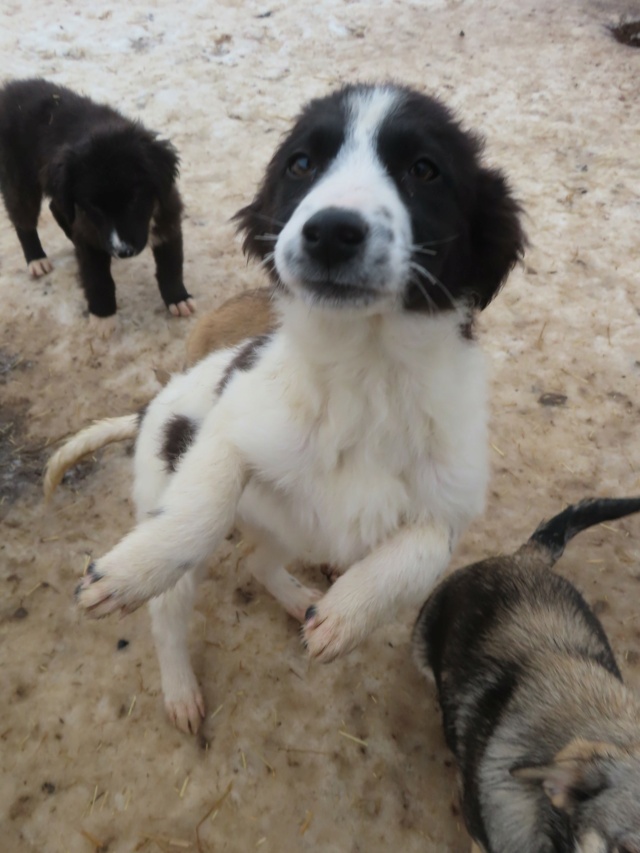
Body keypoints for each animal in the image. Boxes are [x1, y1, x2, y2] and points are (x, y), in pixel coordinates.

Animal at [0, 78, 195, 330]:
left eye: (134, 198)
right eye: (94, 207)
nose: (123, 251)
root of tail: (9, 89)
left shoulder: (167, 213)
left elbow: (171, 266)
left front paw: (178, 298)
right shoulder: (88, 229)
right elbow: (98, 279)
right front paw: (103, 317)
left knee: (56, 208)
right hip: (19, 179)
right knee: (23, 219)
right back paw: (36, 259)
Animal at [65, 83, 524, 728]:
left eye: (424, 169)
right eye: (301, 164)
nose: (331, 231)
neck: (366, 369)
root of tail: (147, 409)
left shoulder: (452, 500)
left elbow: (421, 553)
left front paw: (347, 614)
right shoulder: (234, 425)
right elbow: (201, 506)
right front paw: (131, 570)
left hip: (293, 525)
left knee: (260, 564)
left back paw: (300, 599)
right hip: (182, 491)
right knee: (168, 616)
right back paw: (179, 688)